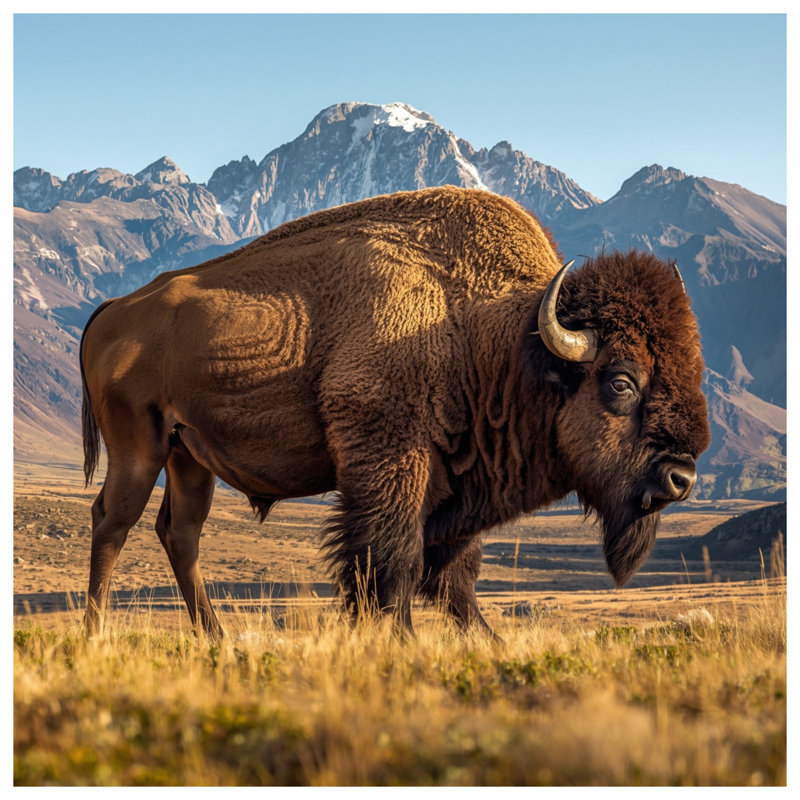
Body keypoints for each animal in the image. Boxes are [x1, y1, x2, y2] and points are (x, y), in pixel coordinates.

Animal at [80, 186, 710, 639]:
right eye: (621, 381)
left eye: (693, 370)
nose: (681, 478)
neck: (494, 337)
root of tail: (113, 309)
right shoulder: (390, 465)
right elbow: (391, 564)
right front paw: (401, 640)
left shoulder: (455, 490)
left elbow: (453, 577)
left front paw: (484, 642)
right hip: (139, 449)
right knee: (113, 522)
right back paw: (96, 632)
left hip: (190, 456)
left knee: (180, 532)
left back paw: (216, 638)